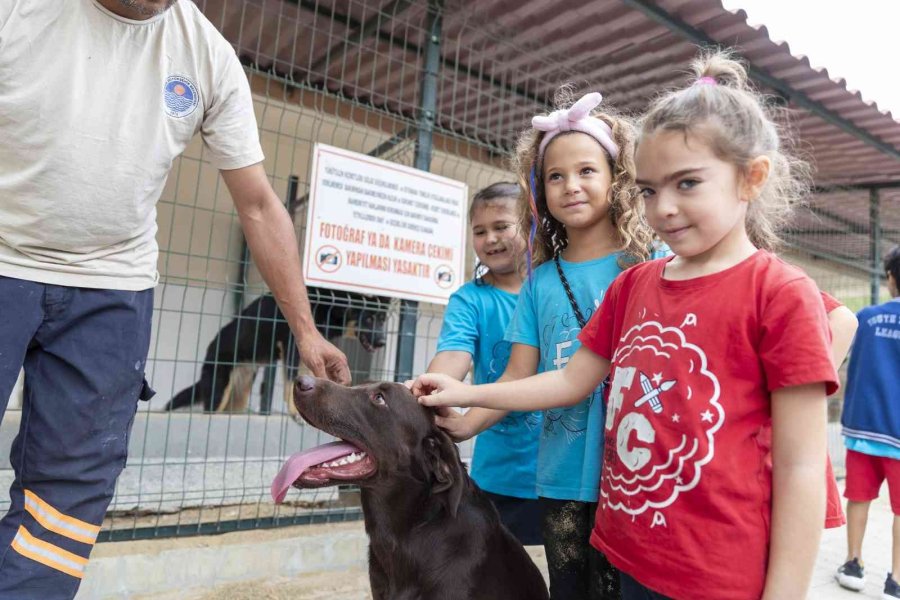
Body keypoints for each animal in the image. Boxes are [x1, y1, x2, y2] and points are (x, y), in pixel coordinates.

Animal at [165, 290, 390, 412]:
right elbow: (292, 381)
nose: (383, 342)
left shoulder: (308, 353)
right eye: (368, 319)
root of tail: (211, 347)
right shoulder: (293, 348)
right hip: (219, 392)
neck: (329, 306)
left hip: (238, 396)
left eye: (382, 320)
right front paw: (294, 411)